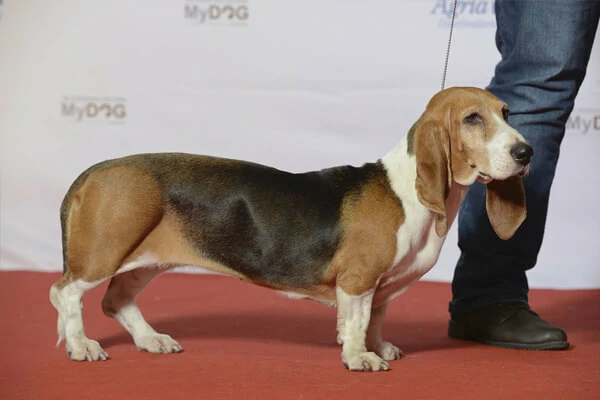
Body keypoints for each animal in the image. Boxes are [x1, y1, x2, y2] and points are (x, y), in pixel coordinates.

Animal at [49, 86, 532, 372]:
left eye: (506, 113)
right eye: (472, 119)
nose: (525, 152)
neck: (408, 188)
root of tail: (94, 171)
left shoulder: (377, 287)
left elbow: (375, 319)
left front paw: (377, 348)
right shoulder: (358, 281)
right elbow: (357, 321)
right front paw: (359, 357)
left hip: (145, 260)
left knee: (117, 301)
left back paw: (151, 340)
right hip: (104, 254)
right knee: (66, 293)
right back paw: (80, 345)